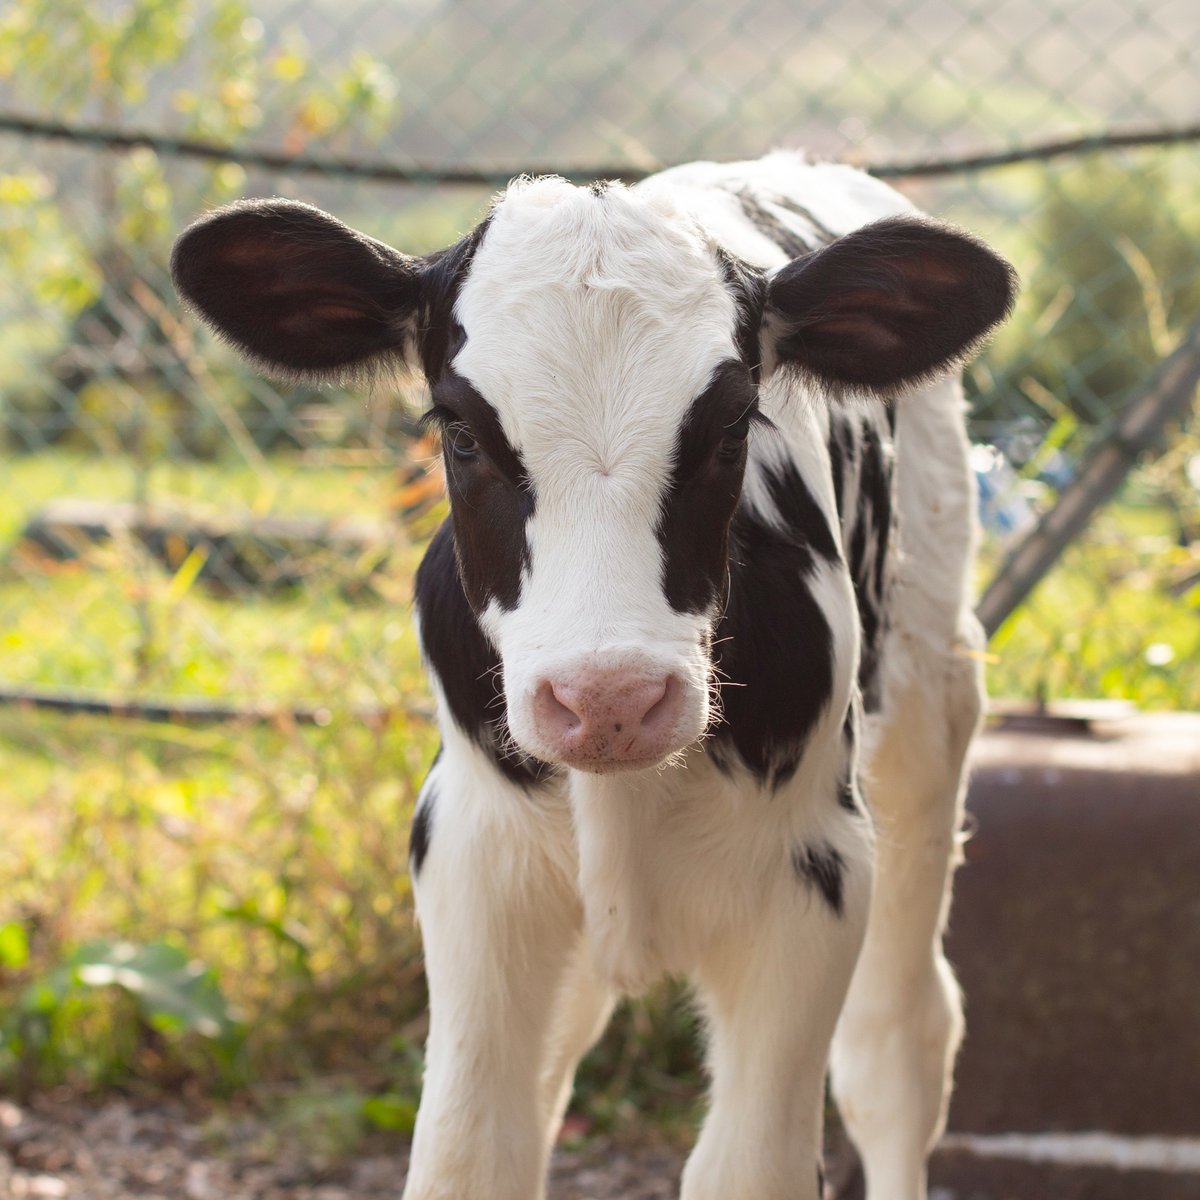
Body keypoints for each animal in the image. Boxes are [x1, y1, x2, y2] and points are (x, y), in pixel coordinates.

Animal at [172, 151, 1016, 1200]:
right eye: (459, 431)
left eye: (733, 427)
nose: (609, 700)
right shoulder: (474, 861)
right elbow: (470, 1152)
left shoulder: (811, 878)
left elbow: (754, 1161)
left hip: (931, 707)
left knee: (898, 1046)